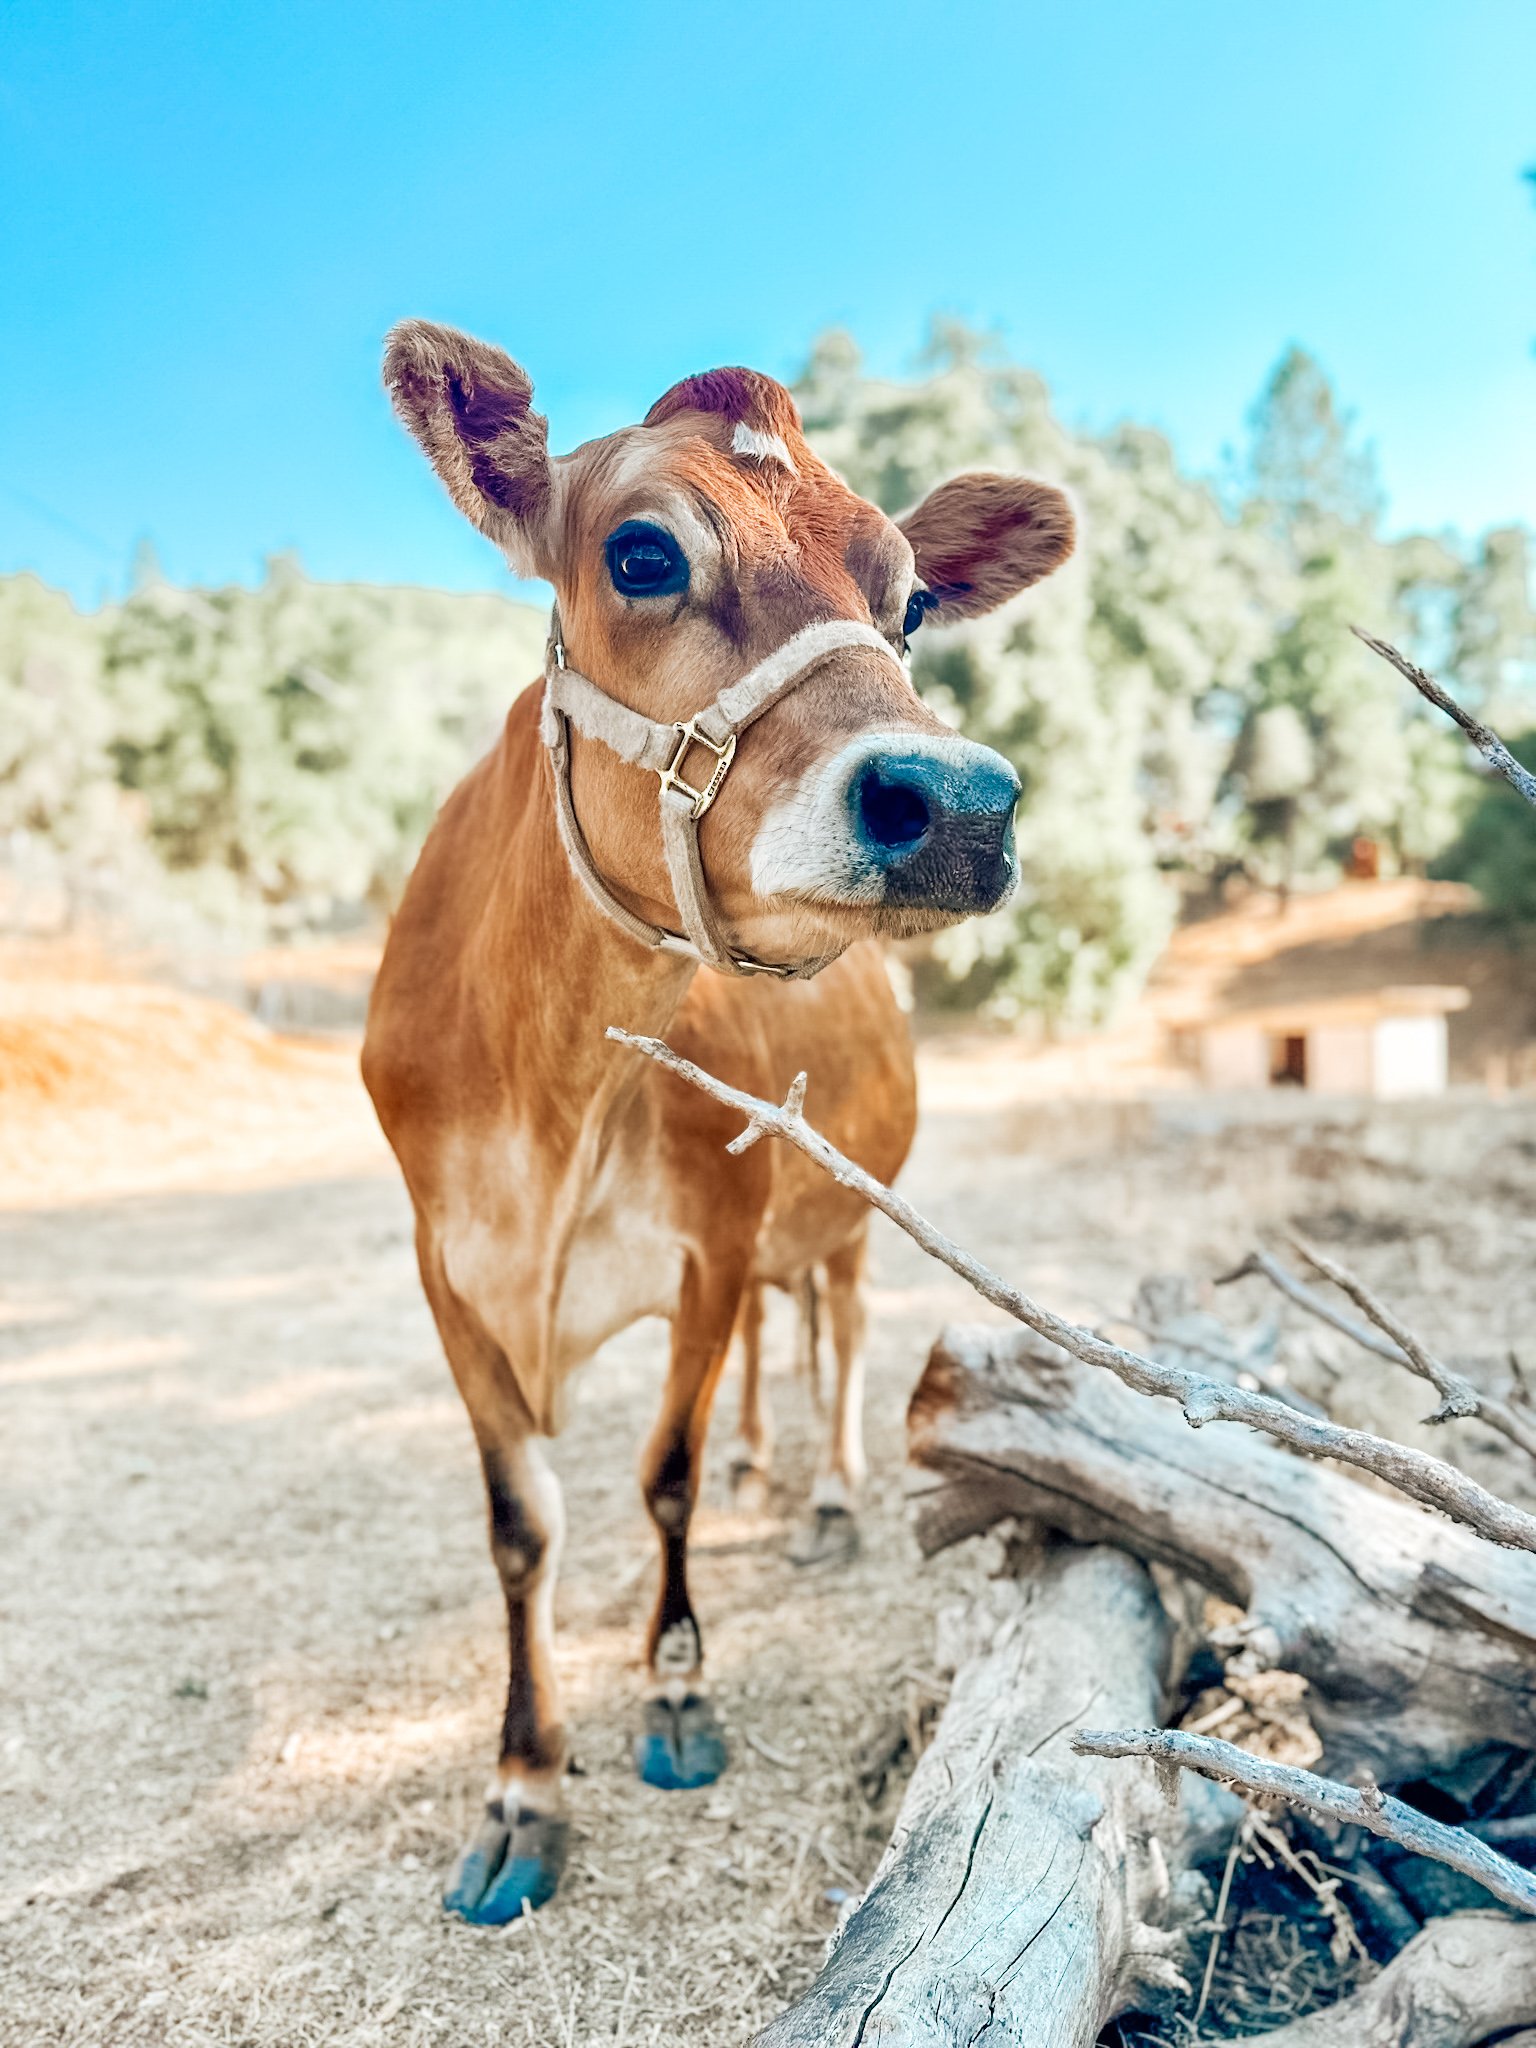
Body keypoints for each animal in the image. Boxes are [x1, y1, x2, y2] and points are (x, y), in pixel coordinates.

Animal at [361, 322, 1074, 1924]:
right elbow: (524, 1526)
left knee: (837, 1331)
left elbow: (664, 1478)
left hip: (846, 1206)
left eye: (911, 598)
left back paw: (824, 1494)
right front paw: (523, 1783)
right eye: (641, 552)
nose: (956, 800)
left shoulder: (713, 1235)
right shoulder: (446, 1267)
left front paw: (677, 1689)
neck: (546, 1091)